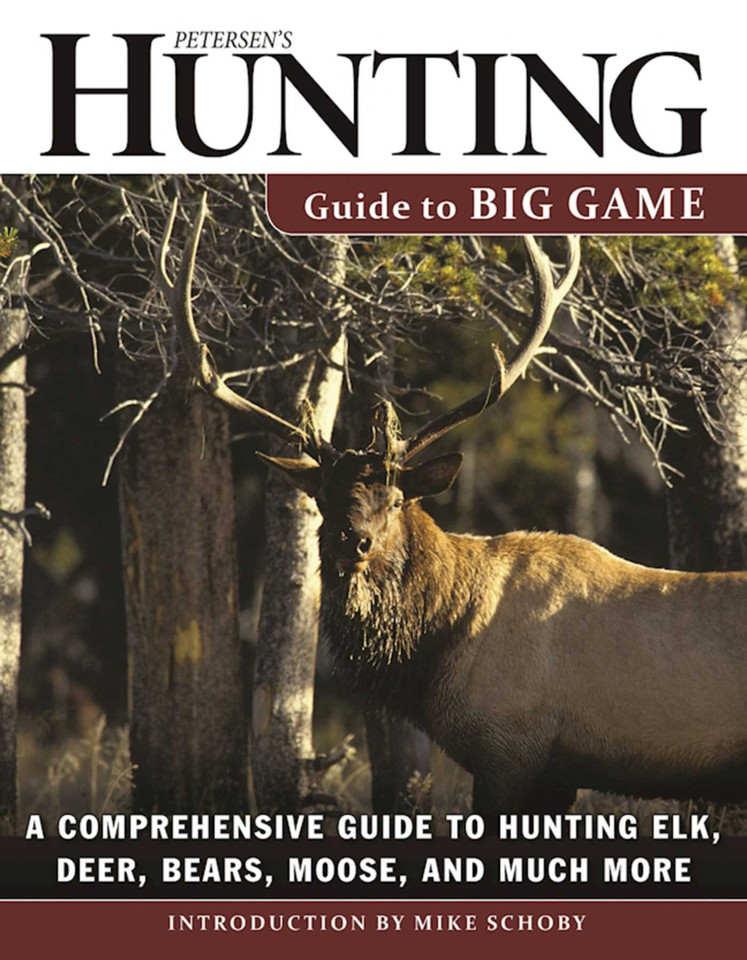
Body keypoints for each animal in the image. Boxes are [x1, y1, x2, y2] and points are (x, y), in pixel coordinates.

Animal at [159, 194, 747, 815]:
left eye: (396, 499)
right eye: (321, 497)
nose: (352, 540)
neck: (434, 654)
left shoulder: (510, 745)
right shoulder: (557, 771)